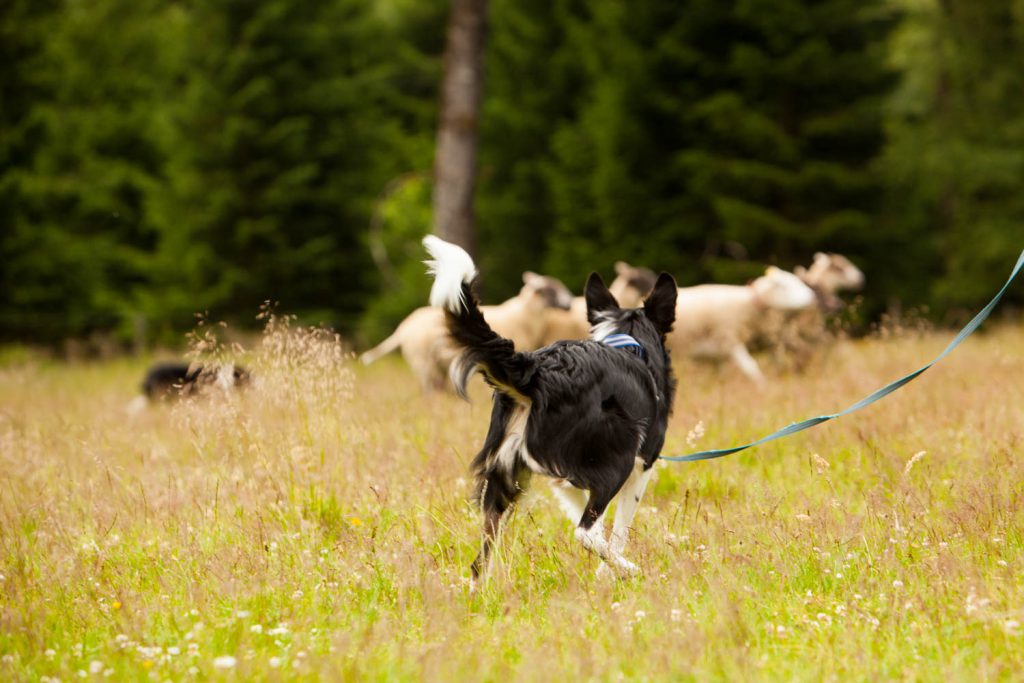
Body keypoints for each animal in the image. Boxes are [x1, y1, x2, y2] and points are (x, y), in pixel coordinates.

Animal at [423, 237, 679, 585]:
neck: (628, 341)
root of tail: (536, 370)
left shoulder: (564, 480)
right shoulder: (643, 466)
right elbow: (615, 530)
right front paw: (608, 573)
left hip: (502, 477)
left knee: (480, 560)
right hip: (618, 460)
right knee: (585, 533)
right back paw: (629, 569)